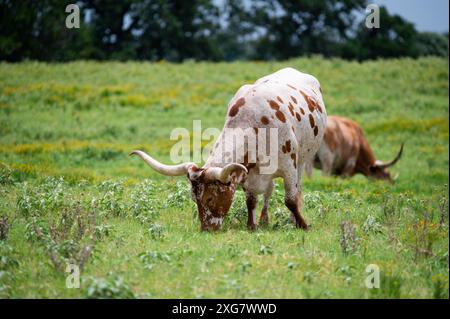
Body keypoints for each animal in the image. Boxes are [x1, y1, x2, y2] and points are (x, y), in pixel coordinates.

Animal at [130, 68, 326, 232]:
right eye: (194, 198)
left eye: (210, 198)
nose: (206, 230)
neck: (254, 126)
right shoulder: (248, 173)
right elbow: (251, 200)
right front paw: (252, 225)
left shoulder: (289, 167)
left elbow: (290, 200)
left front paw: (303, 225)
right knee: (268, 192)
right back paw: (264, 220)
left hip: (302, 160)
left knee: (296, 190)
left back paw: (292, 220)